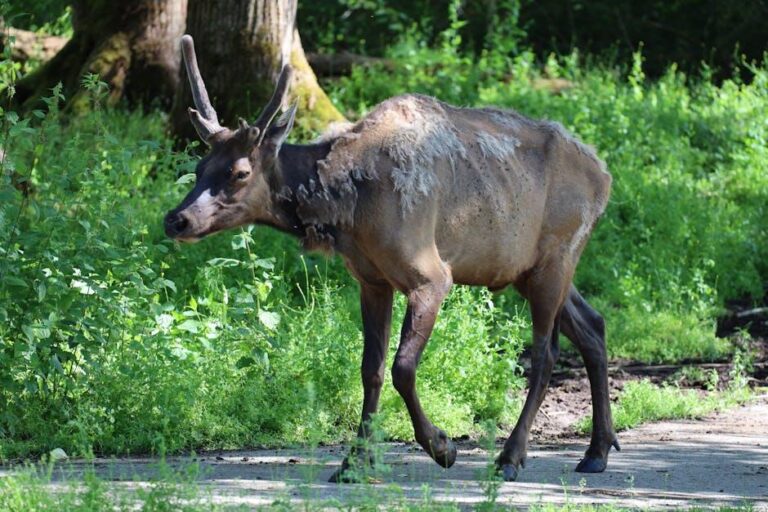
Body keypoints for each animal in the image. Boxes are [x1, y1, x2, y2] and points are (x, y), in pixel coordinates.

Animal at [166, 36, 616, 484]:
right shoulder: (372, 280)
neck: (347, 208)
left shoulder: (431, 275)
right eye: (200, 166)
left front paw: (442, 446)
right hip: (529, 268)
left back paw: (511, 456)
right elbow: (371, 369)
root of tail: (605, 175)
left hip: (557, 256)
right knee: (593, 325)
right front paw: (353, 462)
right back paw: (597, 451)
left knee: (544, 355)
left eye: (240, 172)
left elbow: (403, 367)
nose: (176, 219)